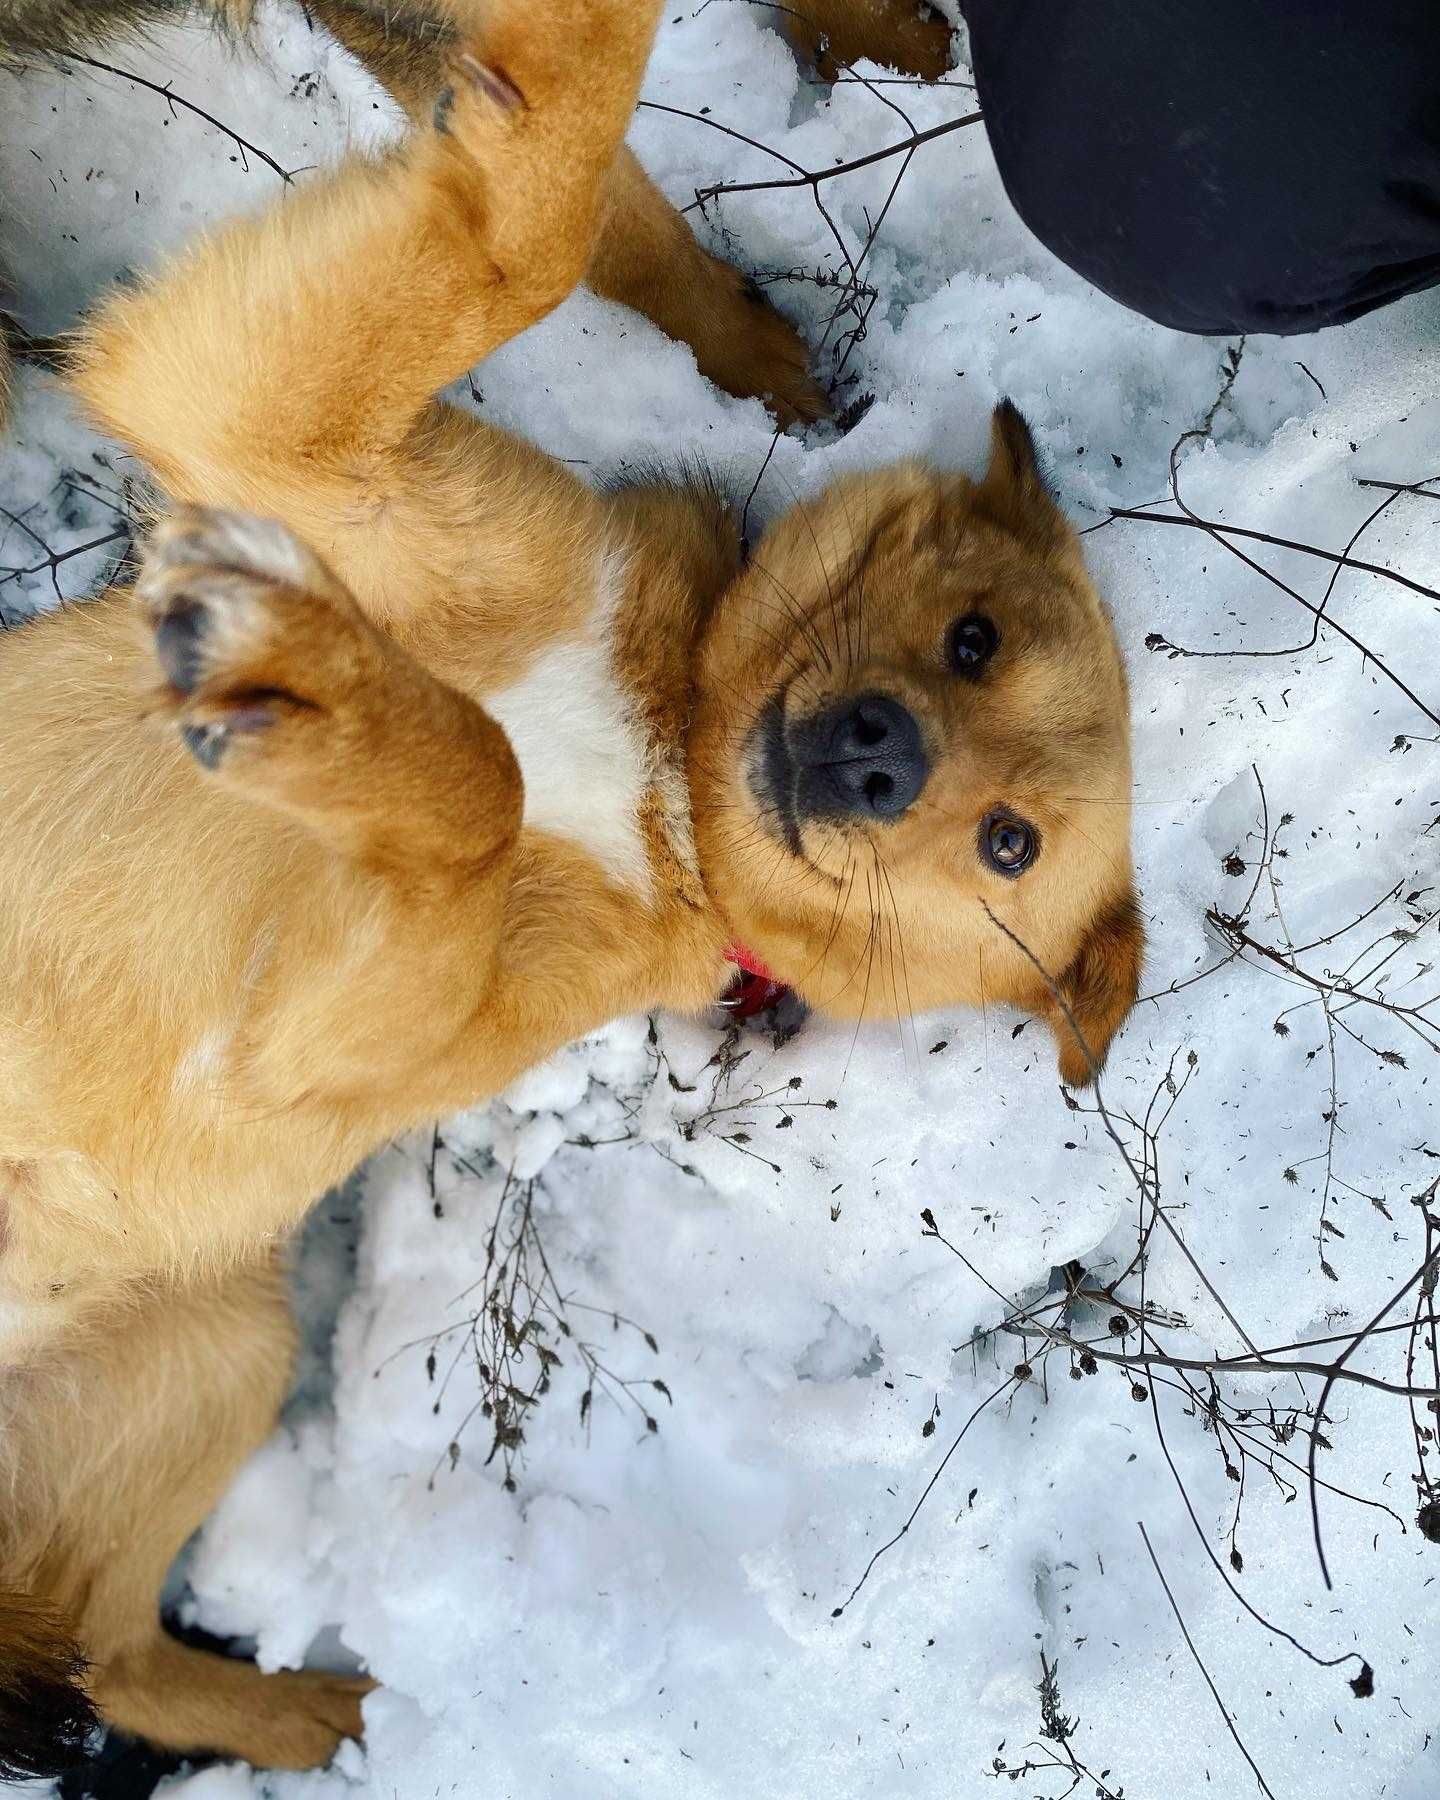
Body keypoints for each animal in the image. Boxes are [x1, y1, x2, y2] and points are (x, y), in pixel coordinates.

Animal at [2, 0, 1144, 1778]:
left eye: (1010, 843)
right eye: (975, 640)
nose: (881, 760)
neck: (660, 763)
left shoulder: (322, 1044)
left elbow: (473, 785)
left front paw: (323, 709)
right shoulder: (268, 431)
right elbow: (526, 234)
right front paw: (575, 48)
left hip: (220, 1346)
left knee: (106, 1655)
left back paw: (338, 1720)